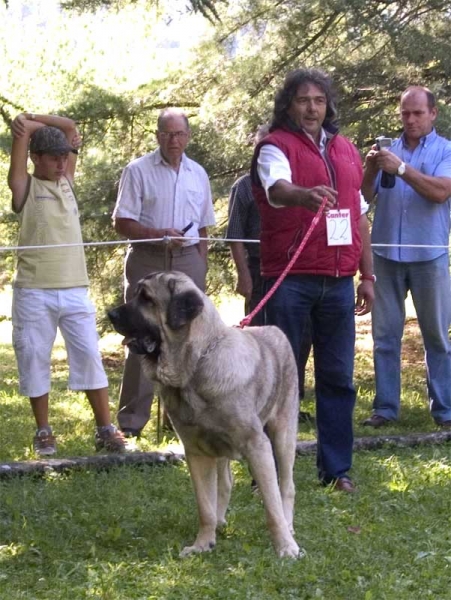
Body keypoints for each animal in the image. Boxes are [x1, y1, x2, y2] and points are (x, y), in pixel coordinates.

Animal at [108, 272, 302, 556]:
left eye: (146, 298)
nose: (110, 314)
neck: (196, 365)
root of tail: (276, 330)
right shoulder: (197, 451)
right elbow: (205, 506)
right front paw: (202, 544)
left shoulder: (257, 445)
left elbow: (272, 504)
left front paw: (286, 548)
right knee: (226, 482)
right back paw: (220, 523)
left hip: (283, 433)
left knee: (287, 485)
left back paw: (289, 528)